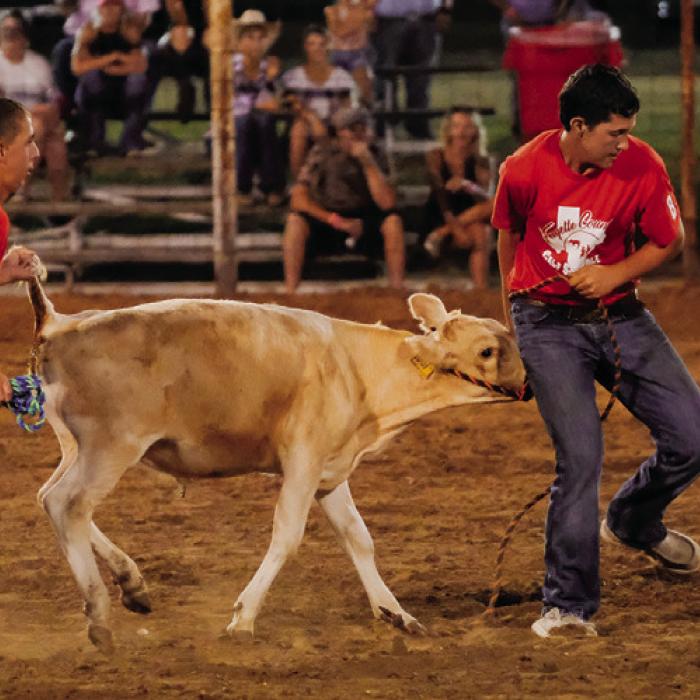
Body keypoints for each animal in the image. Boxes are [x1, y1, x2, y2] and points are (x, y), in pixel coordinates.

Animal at [26, 277, 526, 653]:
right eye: (487, 350)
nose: (528, 381)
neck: (360, 370)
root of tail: (60, 325)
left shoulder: (330, 469)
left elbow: (358, 538)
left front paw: (396, 613)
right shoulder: (303, 460)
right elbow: (287, 535)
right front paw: (243, 618)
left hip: (76, 447)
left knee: (51, 499)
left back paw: (132, 585)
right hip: (110, 447)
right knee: (68, 504)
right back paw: (99, 615)